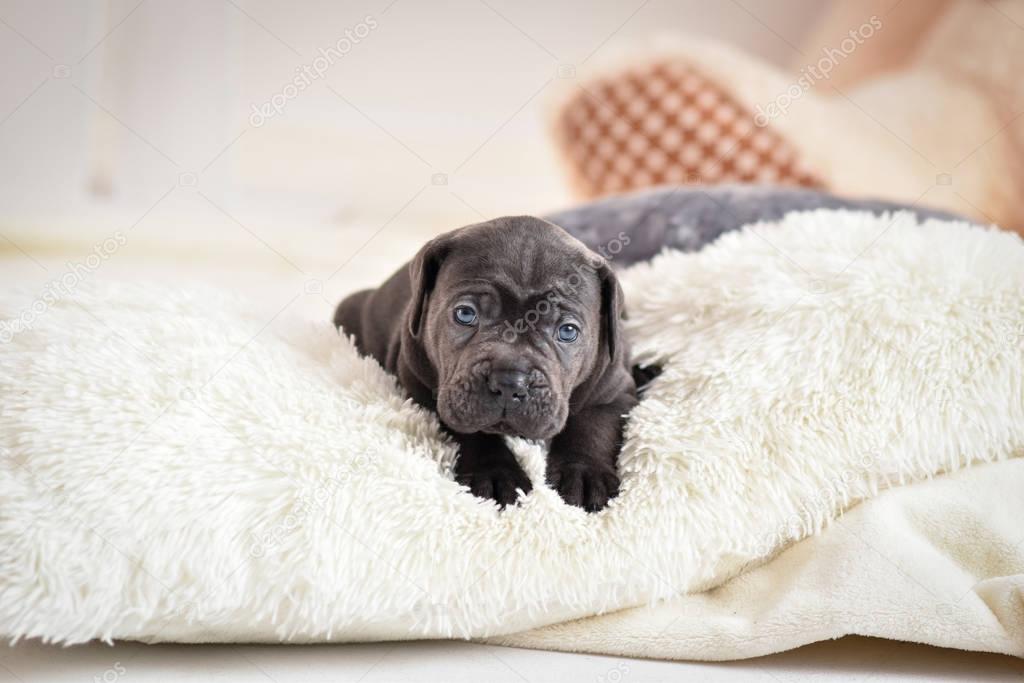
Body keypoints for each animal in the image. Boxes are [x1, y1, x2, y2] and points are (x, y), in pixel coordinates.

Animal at [335, 216, 634, 509]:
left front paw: (584, 473)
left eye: (568, 331)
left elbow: (593, 425)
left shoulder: (614, 390)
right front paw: (494, 473)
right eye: (465, 314)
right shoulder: (428, 392)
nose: (510, 382)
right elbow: (471, 432)